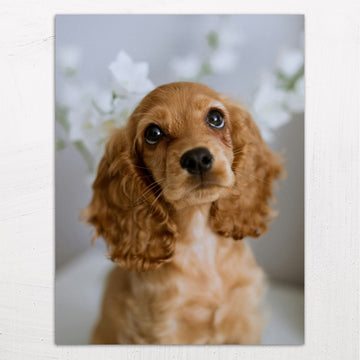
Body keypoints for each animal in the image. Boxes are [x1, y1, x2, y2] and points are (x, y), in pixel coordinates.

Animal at [85, 82, 284, 346]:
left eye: (216, 118)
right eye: (153, 133)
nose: (197, 158)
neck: (200, 241)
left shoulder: (244, 318)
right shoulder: (161, 328)